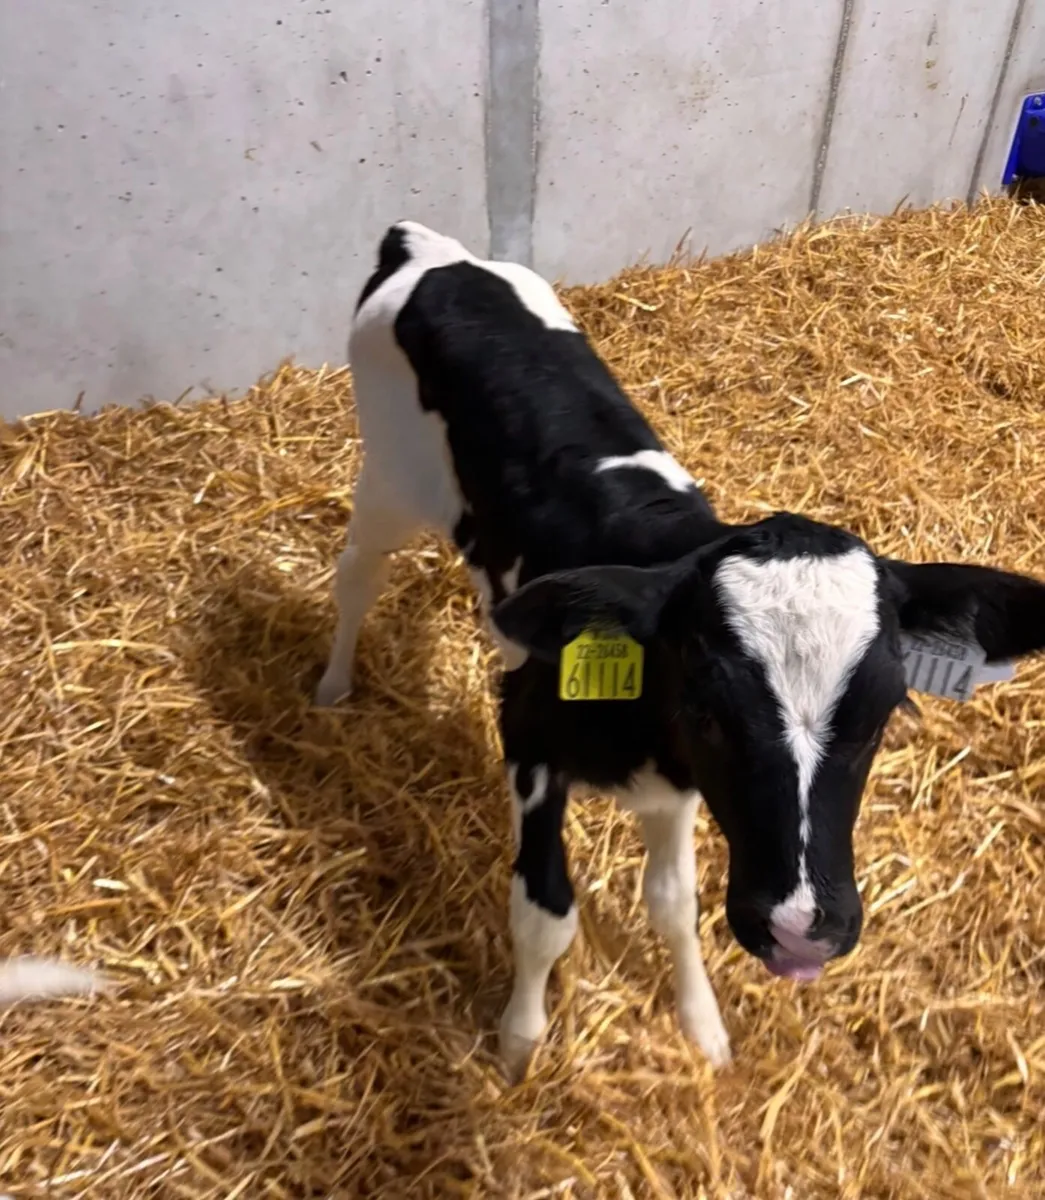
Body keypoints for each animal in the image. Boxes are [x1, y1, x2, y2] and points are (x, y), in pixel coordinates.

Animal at [314, 221, 1045, 1078]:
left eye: (882, 714)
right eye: (707, 710)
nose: (800, 930)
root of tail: (431, 249)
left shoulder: (675, 788)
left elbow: (672, 905)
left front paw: (702, 1027)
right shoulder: (528, 737)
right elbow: (544, 912)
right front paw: (519, 1045)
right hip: (386, 478)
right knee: (356, 576)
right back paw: (331, 691)